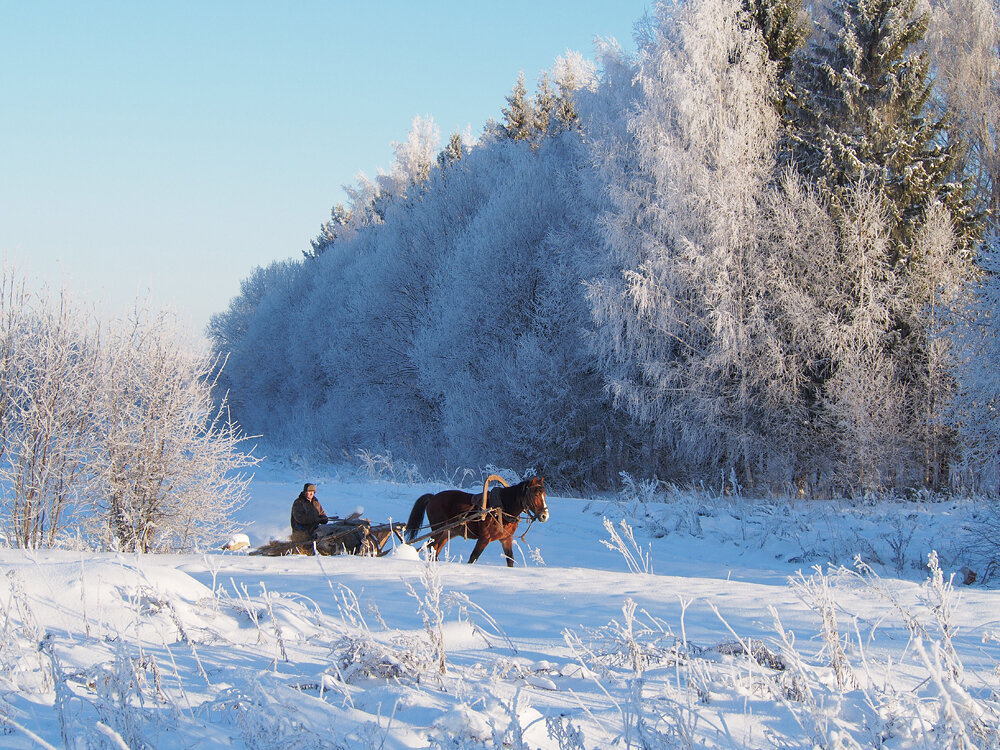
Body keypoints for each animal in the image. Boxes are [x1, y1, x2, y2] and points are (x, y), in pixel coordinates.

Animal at [404, 478, 552, 568]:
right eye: (535, 494)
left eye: (544, 494)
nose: (544, 516)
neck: (501, 508)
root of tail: (432, 497)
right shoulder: (484, 538)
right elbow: (473, 558)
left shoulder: (506, 539)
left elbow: (510, 559)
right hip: (438, 530)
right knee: (431, 548)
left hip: (447, 533)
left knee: (434, 550)